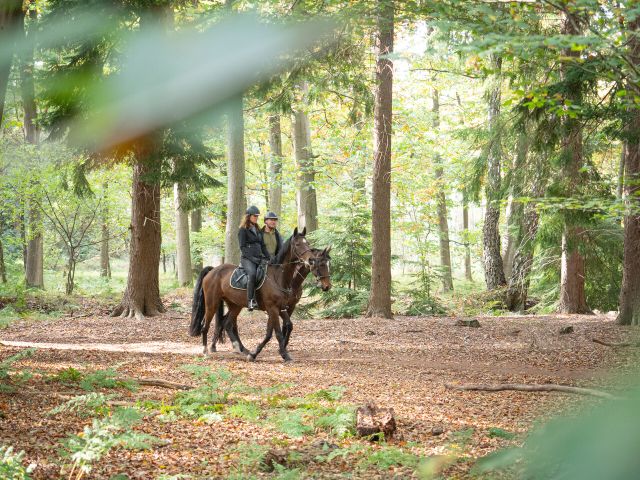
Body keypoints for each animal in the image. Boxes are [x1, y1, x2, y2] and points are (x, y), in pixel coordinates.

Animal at [189, 228, 322, 360]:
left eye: (308, 243)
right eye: (297, 244)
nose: (311, 260)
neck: (279, 277)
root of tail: (212, 271)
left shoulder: (280, 308)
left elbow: (278, 329)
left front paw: (255, 354)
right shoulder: (272, 308)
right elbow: (277, 332)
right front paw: (284, 355)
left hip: (235, 305)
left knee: (227, 323)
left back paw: (242, 349)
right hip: (212, 303)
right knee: (206, 325)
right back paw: (206, 351)